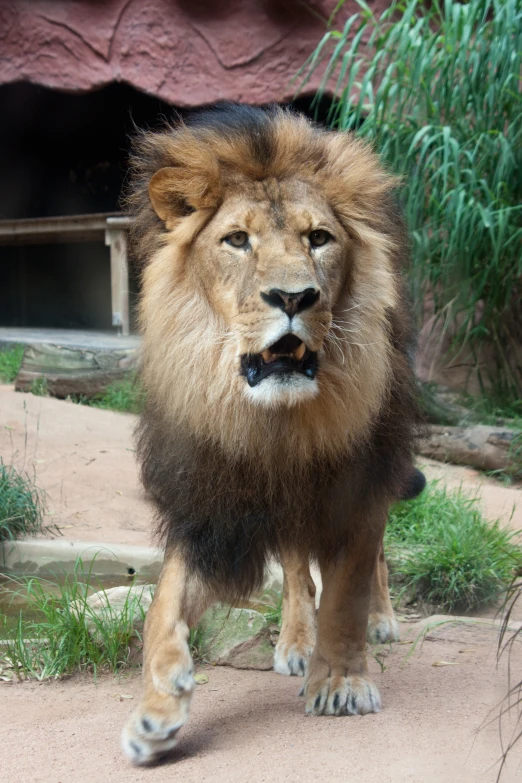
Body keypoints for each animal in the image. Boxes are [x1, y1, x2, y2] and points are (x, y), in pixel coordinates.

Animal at [122, 102, 422, 764]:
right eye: (237, 240)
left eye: (319, 238)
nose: (293, 296)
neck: (274, 427)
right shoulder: (210, 506)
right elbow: (164, 602)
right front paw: (156, 710)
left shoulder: (356, 485)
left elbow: (347, 592)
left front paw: (341, 682)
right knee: (295, 570)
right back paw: (294, 641)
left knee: (373, 559)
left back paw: (380, 621)